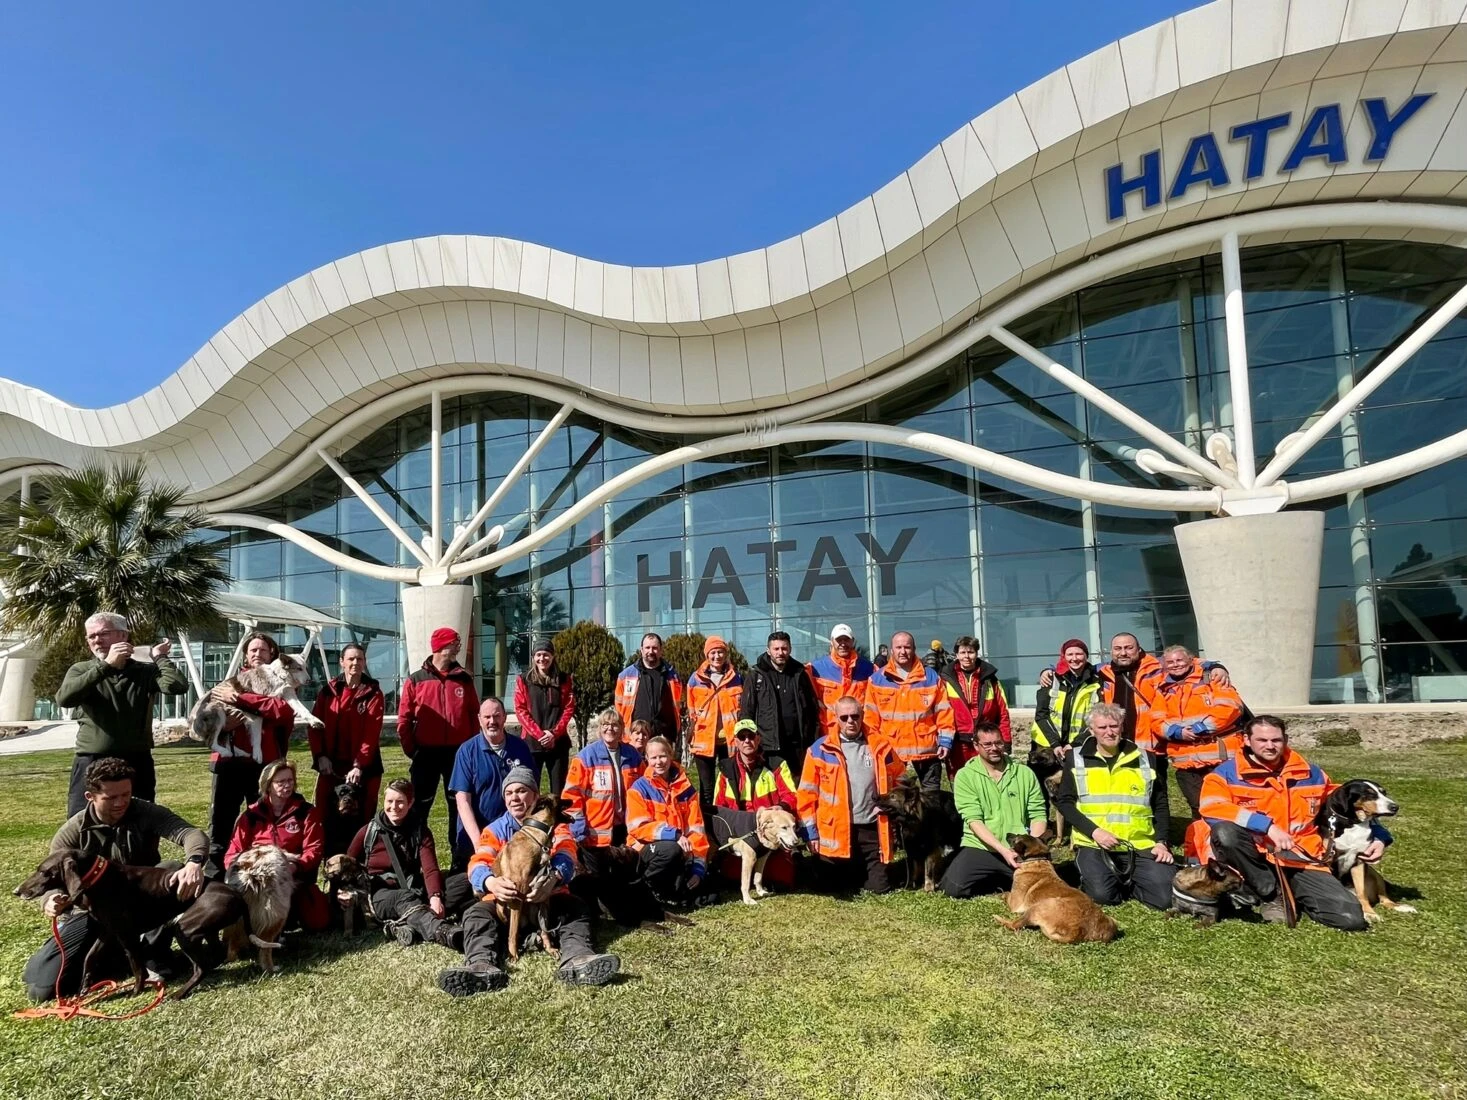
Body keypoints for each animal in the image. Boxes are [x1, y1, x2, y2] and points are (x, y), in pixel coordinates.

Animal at [17, 850, 247, 997]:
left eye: (43, 871)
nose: (17, 891)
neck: (98, 880)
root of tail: (236, 894)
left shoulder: (126, 934)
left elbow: (137, 966)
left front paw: (135, 991)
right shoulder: (108, 932)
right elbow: (89, 957)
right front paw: (85, 986)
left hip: (185, 929)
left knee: (201, 968)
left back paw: (179, 993)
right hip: (204, 928)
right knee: (215, 954)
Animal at [193, 654, 322, 768]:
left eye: (305, 668)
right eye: (299, 668)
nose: (310, 681)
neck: (278, 676)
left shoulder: (288, 693)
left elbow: (303, 709)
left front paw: (315, 721)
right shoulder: (255, 713)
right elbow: (257, 736)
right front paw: (258, 754)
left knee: (225, 740)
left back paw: (239, 752)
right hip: (219, 712)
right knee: (211, 742)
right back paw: (226, 752)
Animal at [492, 803, 560, 962]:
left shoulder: (540, 895)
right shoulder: (516, 895)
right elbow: (513, 932)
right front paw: (513, 954)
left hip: (539, 908)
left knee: (542, 930)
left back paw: (549, 947)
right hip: (505, 907)